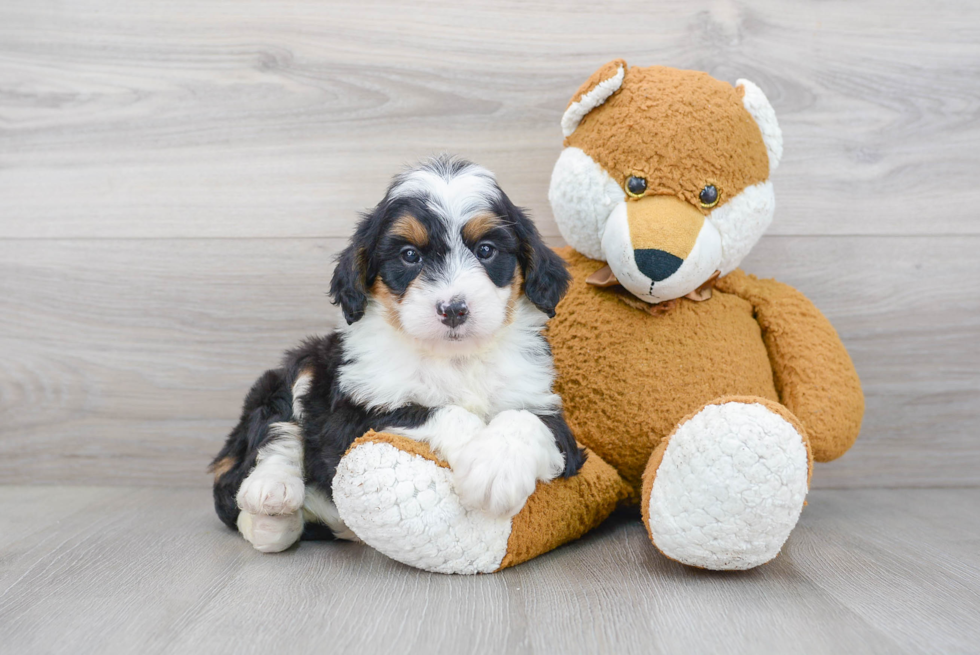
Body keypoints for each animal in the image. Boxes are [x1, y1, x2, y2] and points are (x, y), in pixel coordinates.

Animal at [212, 156, 584, 552]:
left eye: (486, 250)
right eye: (409, 255)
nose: (453, 309)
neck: (454, 357)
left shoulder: (548, 413)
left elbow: (523, 419)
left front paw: (496, 469)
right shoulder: (351, 417)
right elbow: (433, 411)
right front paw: (480, 455)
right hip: (300, 365)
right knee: (274, 431)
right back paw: (270, 495)